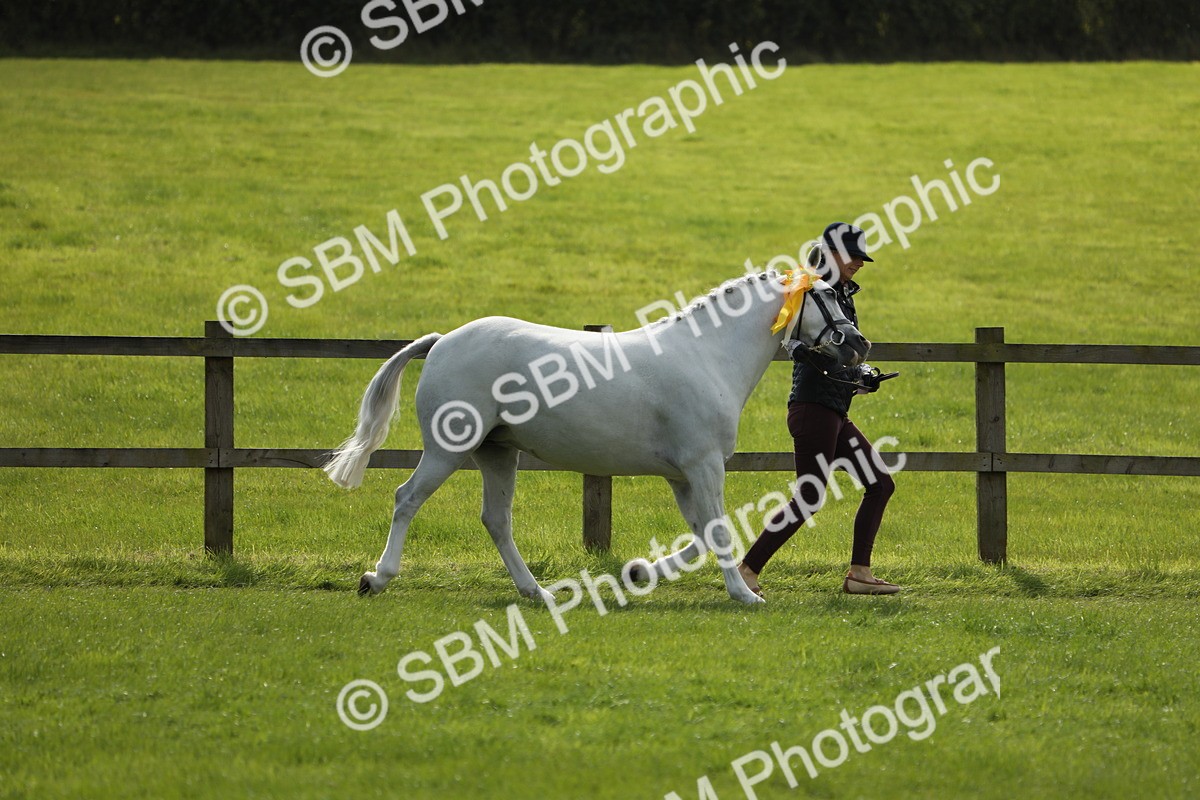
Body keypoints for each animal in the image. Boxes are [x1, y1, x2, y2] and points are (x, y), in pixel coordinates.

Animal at [323, 266, 870, 605]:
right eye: (826, 295)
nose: (859, 344)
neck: (708, 356)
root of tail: (442, 342)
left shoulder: (682, 475)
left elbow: (700, 534)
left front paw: (640, 572)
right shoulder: (704, 464)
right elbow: (717, 531)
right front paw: (745, 595)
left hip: (497, 454)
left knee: (496, 521)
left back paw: (538, 593)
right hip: (448, 449)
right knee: (407, 498)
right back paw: (377, 578)